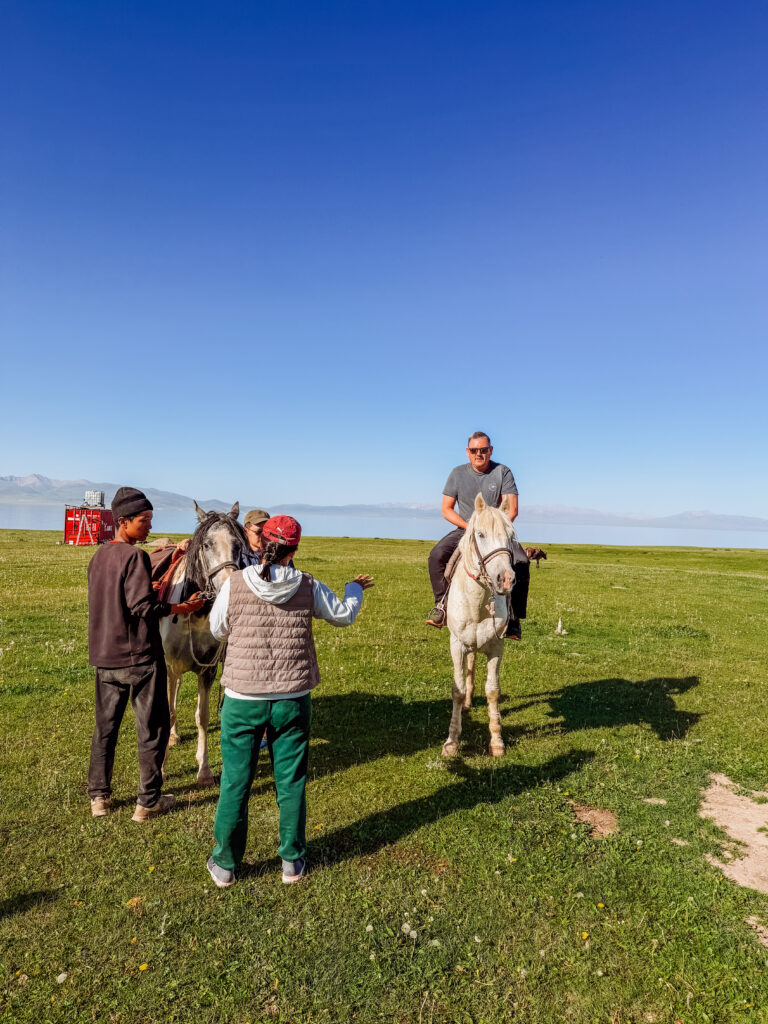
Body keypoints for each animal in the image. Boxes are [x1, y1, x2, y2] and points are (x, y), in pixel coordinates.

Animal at [159, 500, 248, 786]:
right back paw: (173, 736)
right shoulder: (170, 667)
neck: (195, 611)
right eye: (207, 544)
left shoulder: (208, 670)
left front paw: (205, 769)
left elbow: (203, 716)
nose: (230, 589)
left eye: (238, 544)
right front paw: (161, 769)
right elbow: (169, 711)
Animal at [441, 494, 516, 759]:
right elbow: (457, 689)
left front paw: (497, 741)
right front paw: (452, 742)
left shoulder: (496, 647)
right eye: (481, 534)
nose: (506, 579)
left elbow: (493, 690)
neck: (478, 603)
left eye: (511, 535)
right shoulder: (457, 645)